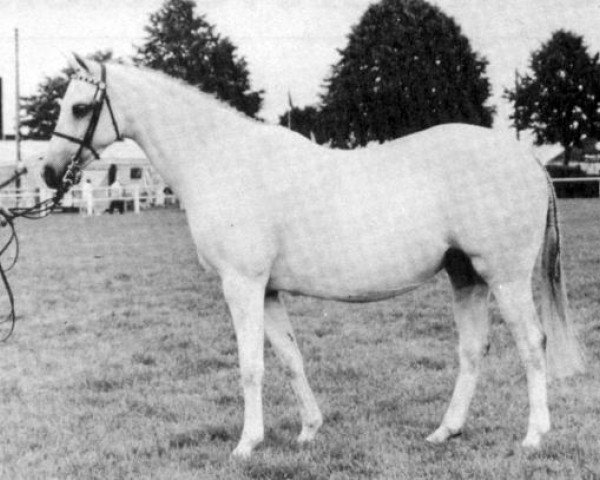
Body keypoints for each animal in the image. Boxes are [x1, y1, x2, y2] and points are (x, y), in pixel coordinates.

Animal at [43, 58, 584, 460]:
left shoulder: (241, 284)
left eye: (81, 107)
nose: (49, 173)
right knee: (473, 351)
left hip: (506, 277)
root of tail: (527, 159)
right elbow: (289, 357)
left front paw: (247, 444)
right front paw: (308, 429)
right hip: (466, 275)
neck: (221, 160)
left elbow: (251, 365)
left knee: (532, 345)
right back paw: (444, 431)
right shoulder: (267, 290)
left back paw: (534, 436)